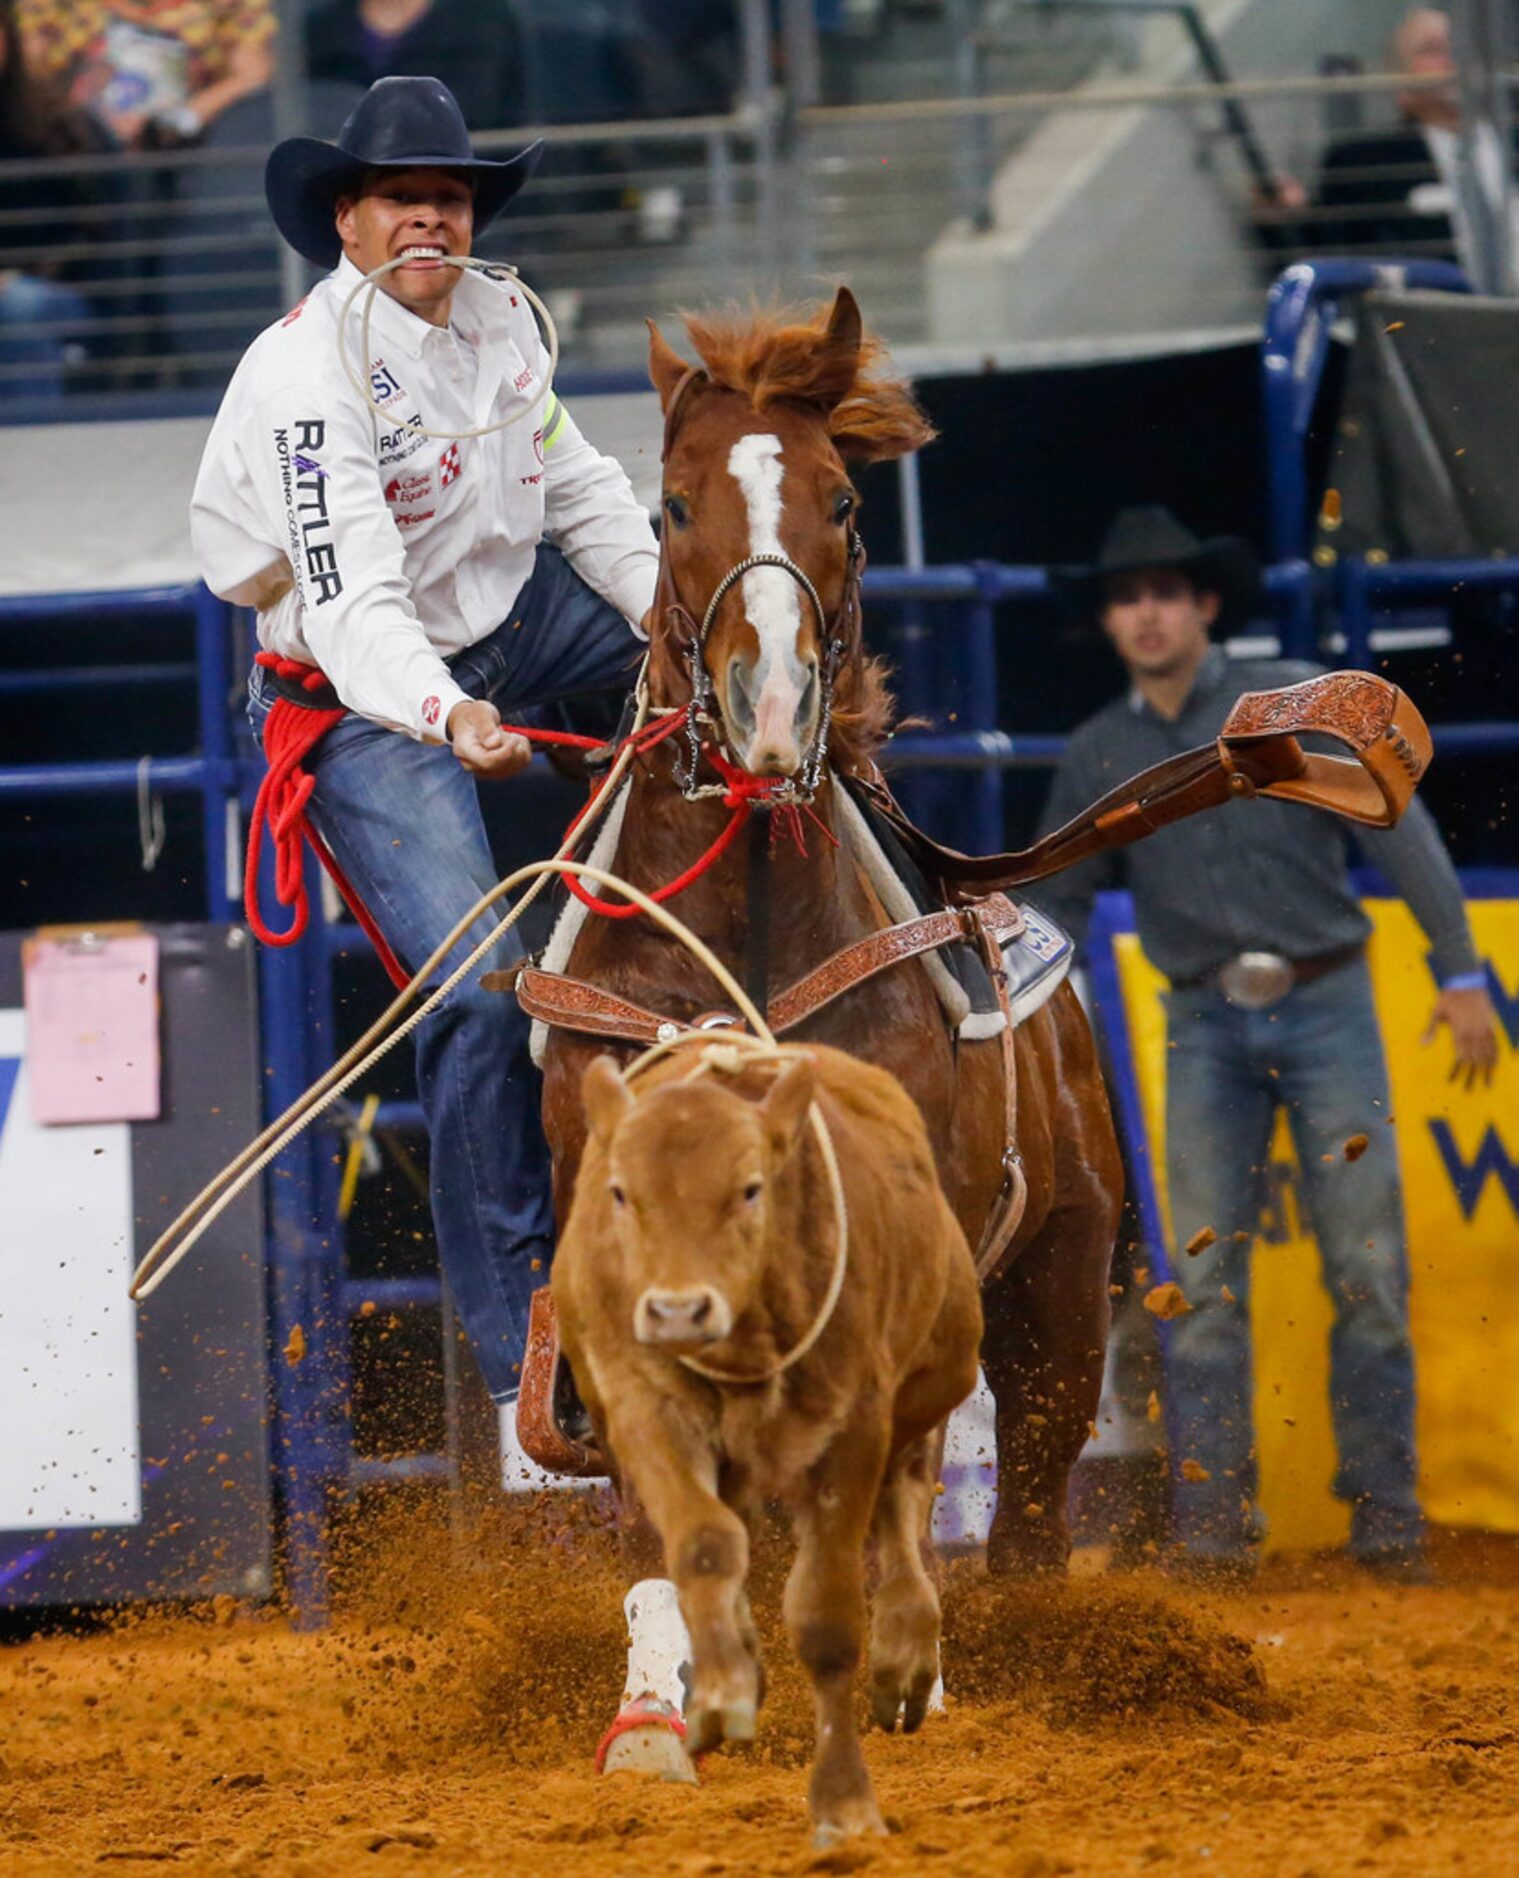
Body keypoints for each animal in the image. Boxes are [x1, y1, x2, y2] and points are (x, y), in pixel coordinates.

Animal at [552, 1044, 976, 1847]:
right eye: (620, 1193)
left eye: (750, 1189)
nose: (676, 1309)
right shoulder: (645, 1408)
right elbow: (705, 1544)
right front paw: (722, 1691)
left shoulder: (852, 1429)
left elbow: (827, 1617)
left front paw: (844, 1804)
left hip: (936, 1378)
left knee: (905, 1498)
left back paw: (906, 1653)